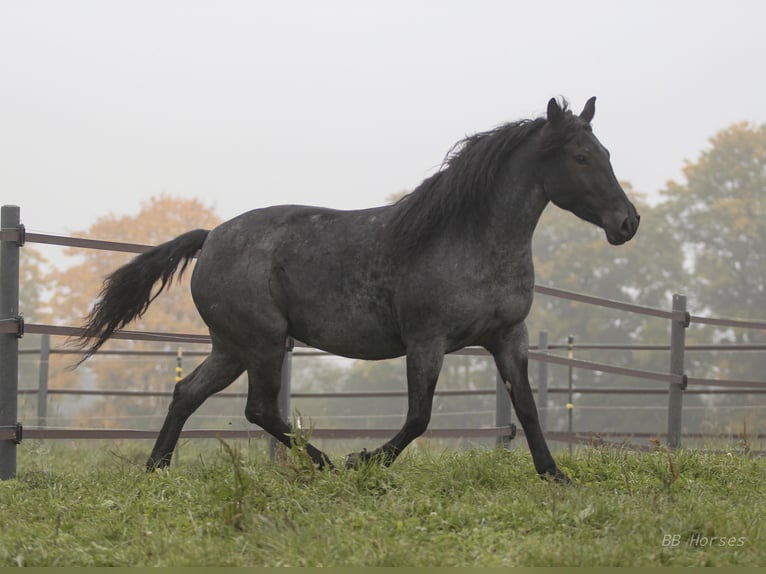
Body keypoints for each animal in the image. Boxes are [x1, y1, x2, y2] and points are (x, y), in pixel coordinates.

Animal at [75, 97, 639, 482]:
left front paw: (555, 475)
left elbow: (526, 407)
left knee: (187, 393)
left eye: (607, 152)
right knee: (259, 409)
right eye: (581, 157)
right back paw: (326, 463)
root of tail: (210, 237)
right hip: (261, 343)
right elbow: (418, 417)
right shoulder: (427, 341)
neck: (471, 237)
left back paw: (157, 468)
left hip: (232, 348)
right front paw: (364, 458)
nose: (627, 222)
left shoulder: (509, 337)